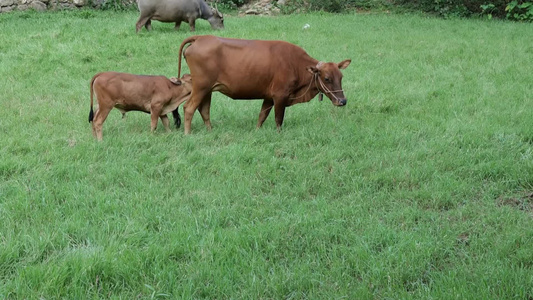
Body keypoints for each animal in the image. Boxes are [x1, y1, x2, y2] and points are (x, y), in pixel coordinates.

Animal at [176, 34, 350, 134]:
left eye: (341, 77)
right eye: (327, 78)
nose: (342, 101)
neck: (295, 64)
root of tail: (201, 38)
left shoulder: (268, 96)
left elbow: (262, 116)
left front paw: (257, 131)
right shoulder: (280, 95)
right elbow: (278, 119)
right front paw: (279, 134)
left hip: (208, 89)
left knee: (204, 110)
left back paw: (210, 131)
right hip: (201, 87)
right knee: (189, 108)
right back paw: (187, 134)